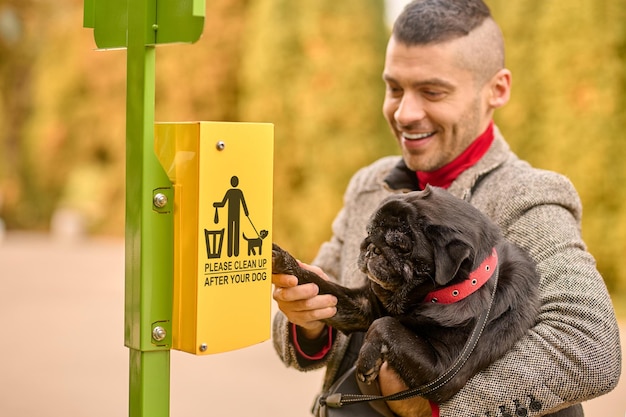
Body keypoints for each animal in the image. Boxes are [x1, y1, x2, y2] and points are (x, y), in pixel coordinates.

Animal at [270, 184, 540, 400]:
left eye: (399, 245)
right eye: (369, 231)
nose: (372, 247)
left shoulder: (444, 373)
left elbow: (385, 325)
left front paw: (367, 359)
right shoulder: (364, 305)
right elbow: (323, 285)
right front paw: (284, 262)